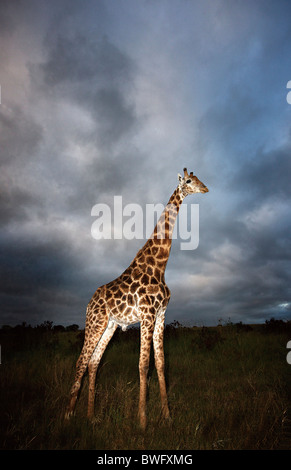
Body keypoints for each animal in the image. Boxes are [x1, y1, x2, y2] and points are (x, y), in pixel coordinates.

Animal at [65, 168, 209, 430]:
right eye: (189, 181)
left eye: (198, 178)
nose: (205, 188)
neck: (160, 266)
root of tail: (89, 302)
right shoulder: (147, 315)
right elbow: (143, 365)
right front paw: (142, 421)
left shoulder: (161, 315)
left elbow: (161, 363)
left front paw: (167, 416)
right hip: (95, 322)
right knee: (81, 361)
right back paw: (68, 414)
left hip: (110, 325)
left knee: (94, 362)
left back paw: (91, 416)